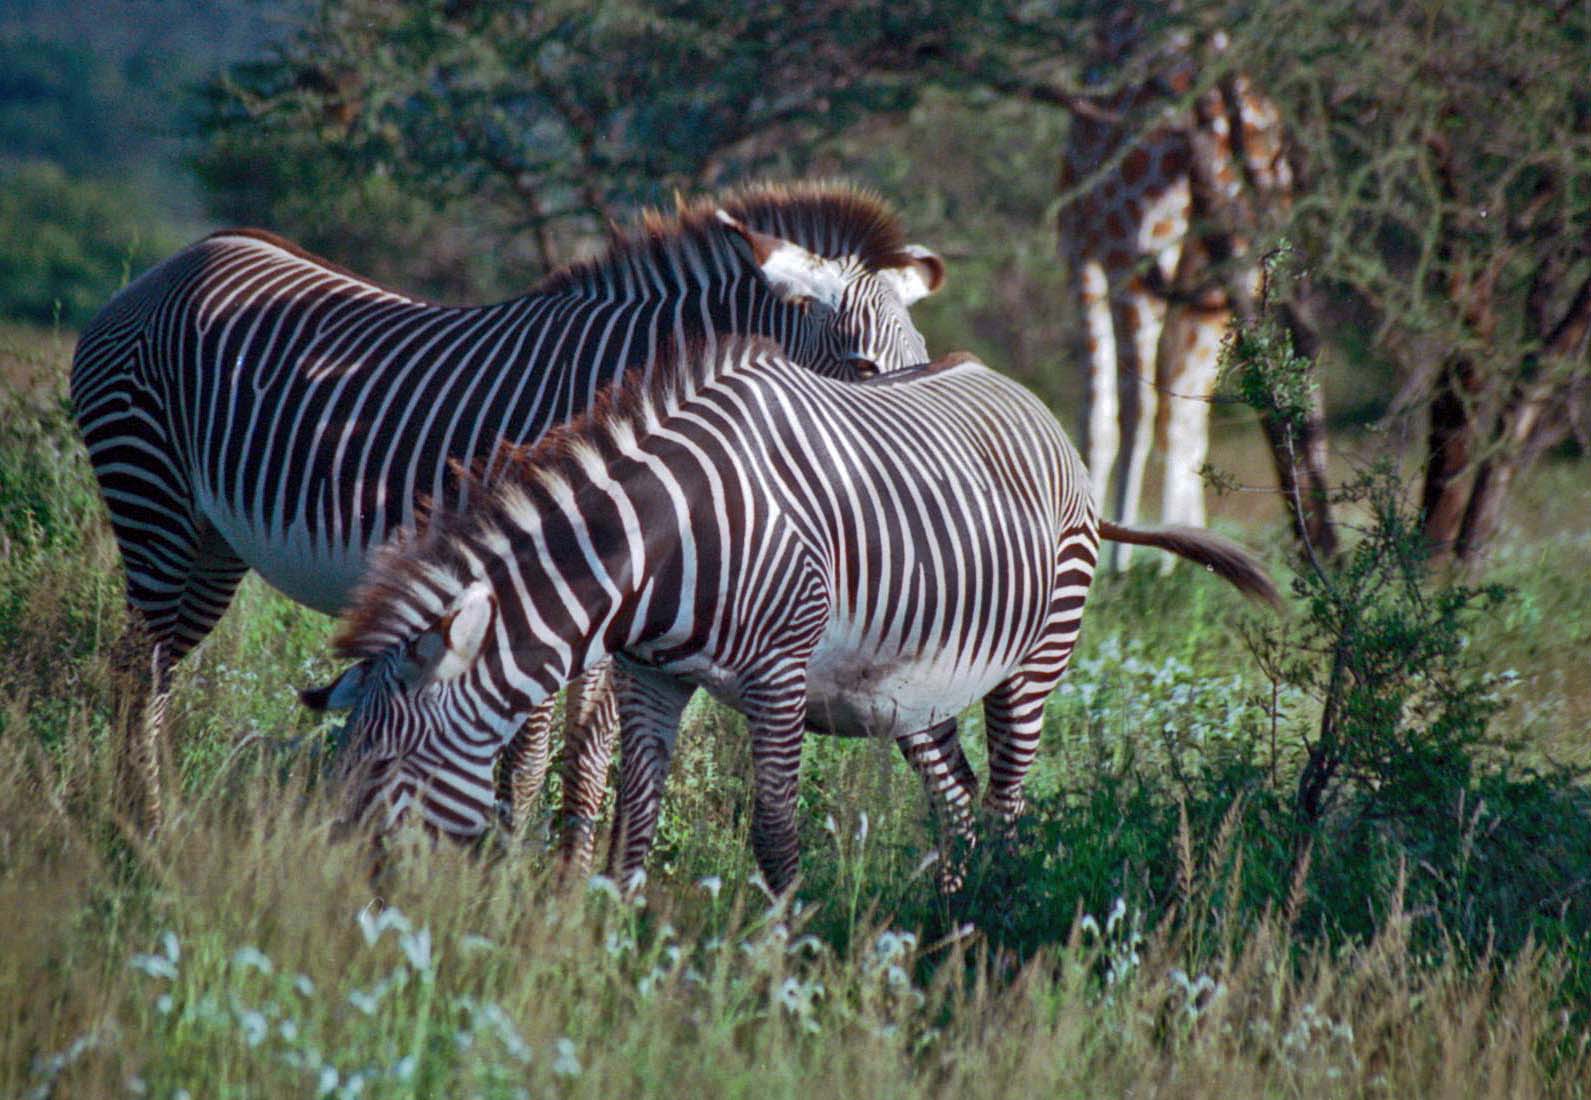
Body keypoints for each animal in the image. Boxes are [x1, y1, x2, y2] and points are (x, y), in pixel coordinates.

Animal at [70, 181, 947, 835]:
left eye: (925, 362)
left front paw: (570, 895)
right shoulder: (544, 579)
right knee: (136, 672)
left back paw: (145, 819)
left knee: (156, 671)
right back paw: (138, 831)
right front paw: (505, 882)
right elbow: (528, 753)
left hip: (211, 540)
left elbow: (591, 757)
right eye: (863, 366)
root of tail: (181, 259)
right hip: (149, 494)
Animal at [303, 337, 1280, 895]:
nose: (337, 901)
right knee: (958, 801)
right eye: (340, 765)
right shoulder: (649, 674)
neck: (660, 545)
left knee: (1007, 805)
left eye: (381, 764)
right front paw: (613, 951)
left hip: (1033, 661)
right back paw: (950, 925)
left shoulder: (775, 676)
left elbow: (773, 833)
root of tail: (1032, 405)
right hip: (911, 688)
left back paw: (991, 936)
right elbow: (633, 821)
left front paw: (780, 972)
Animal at [1058, 18, 1322, 569]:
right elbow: (1182, 418)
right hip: (1232, 272)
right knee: (1185, 413)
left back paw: (1123, 561)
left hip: (1138, 257)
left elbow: (1099, 417)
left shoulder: (1082, 255)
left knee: (1139, 407)